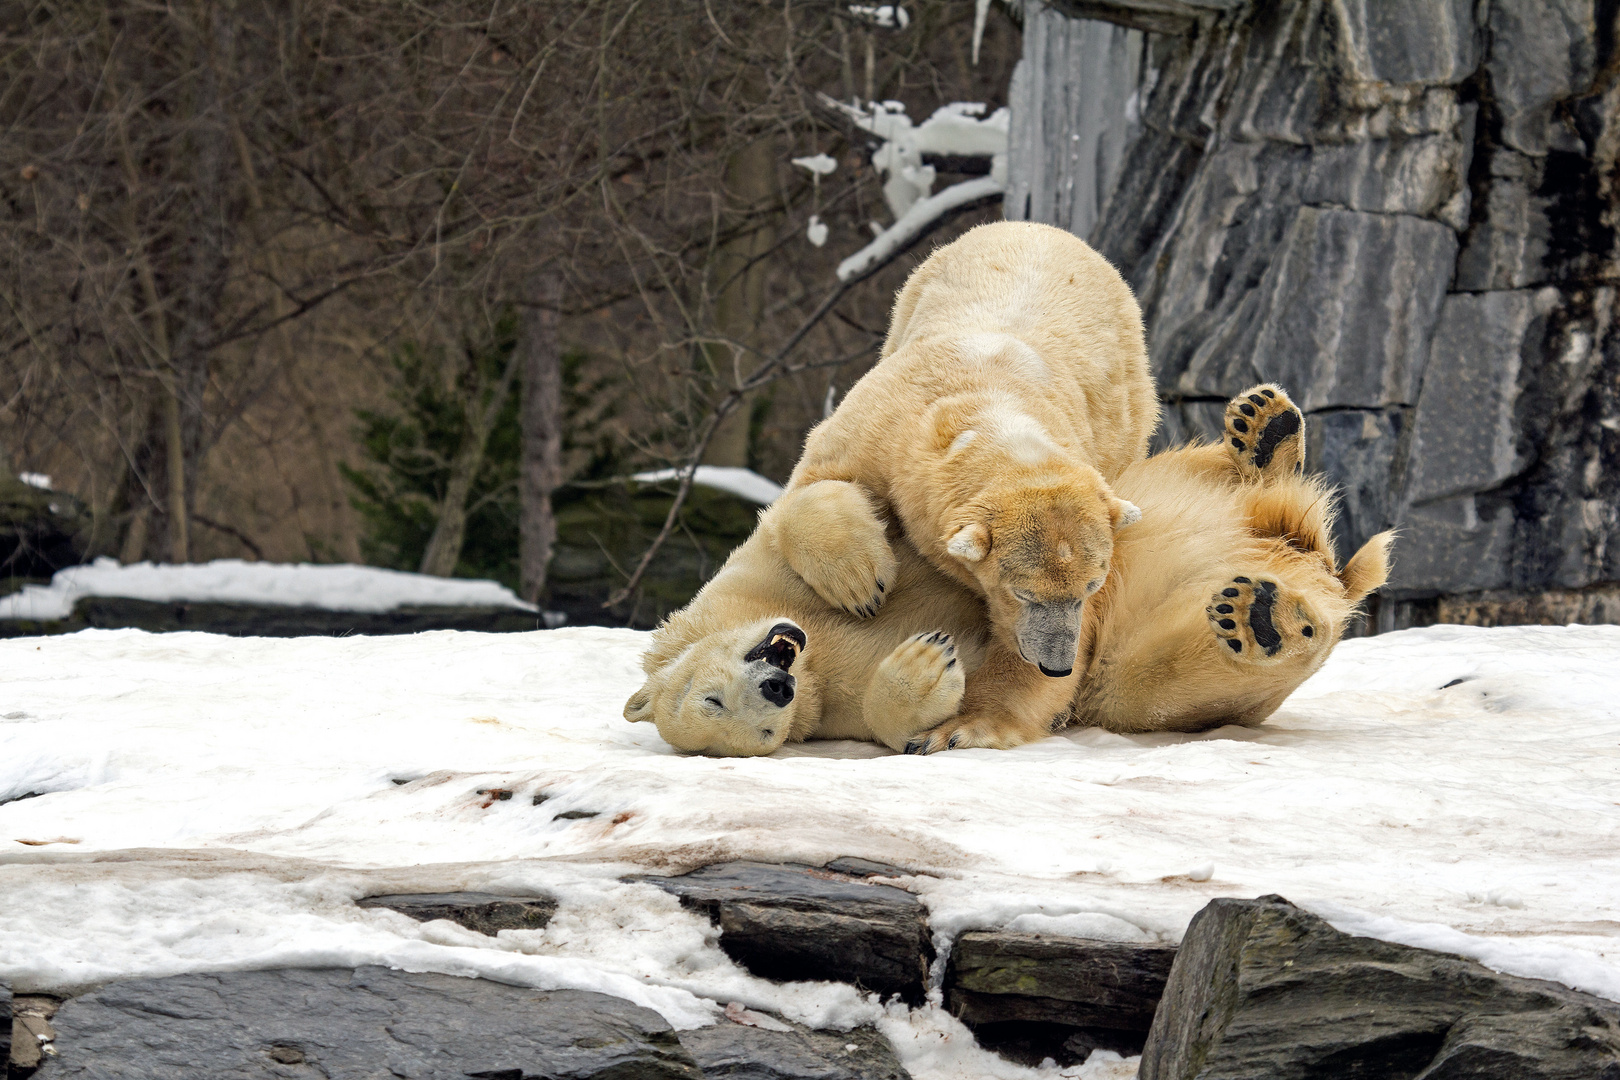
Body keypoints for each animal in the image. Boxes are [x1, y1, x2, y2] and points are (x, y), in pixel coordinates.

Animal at [780, 225, 1153, 757]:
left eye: (1090, 586)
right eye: (1023, 592)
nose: (1056, 664)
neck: (987, 398)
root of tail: (1044, 228)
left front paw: (957, 727)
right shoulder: (885, 424)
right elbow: (819, 476)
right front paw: (862, 586)